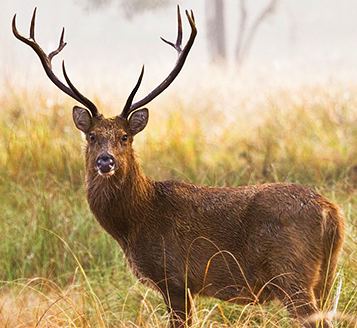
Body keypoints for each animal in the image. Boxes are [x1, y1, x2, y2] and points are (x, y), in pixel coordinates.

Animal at [12, 5, 344, 328]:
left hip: (292, 272)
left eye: (124, 137)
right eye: (92, 136)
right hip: (325, 274)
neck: (136, 220)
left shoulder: (174, 277)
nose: (105, 160)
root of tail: (332, 214)